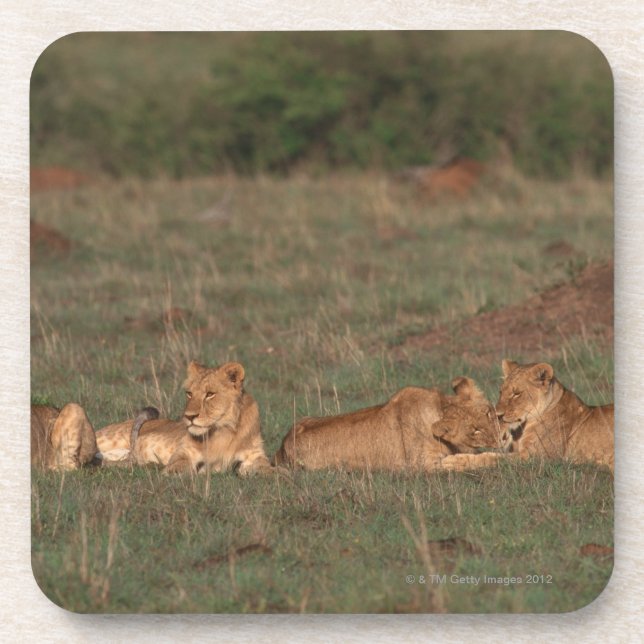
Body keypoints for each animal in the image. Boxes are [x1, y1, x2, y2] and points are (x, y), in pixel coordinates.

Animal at [95, 361, 272, 475]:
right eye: (189, 393)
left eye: (210, 394)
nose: (189, 416)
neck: (223, 431)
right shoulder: (183, 452)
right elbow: (180, 464)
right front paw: (175, 471)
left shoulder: (255, 455)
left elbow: (267, 467)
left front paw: (275, 473)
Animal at [272, 376, 502, 471]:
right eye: (475, 431)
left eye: (489, 413)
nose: (500, 439)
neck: (439, 407)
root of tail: (282, 445)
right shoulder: (422, 465)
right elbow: (464, 460)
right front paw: (498, 459)